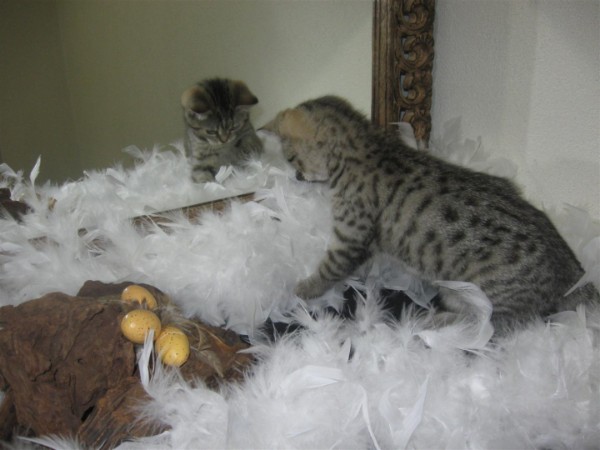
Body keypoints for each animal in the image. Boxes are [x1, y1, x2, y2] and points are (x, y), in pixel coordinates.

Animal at [262, 95, 599, 335]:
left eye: (291, 157)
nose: (296, 176)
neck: (367, 148)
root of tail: (573, 271)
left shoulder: (350, 238)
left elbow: (329, 269)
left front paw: (303, 288)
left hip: (482, 295)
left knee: (493, 324)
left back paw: (436, 323)